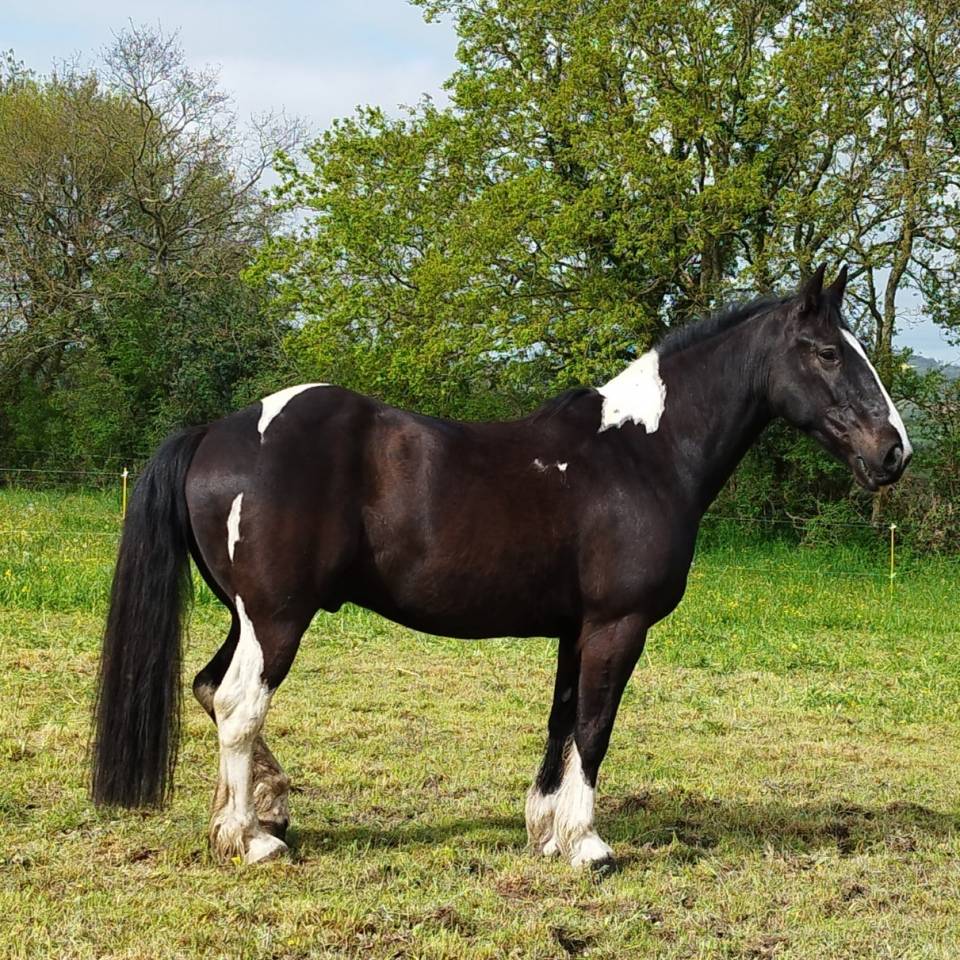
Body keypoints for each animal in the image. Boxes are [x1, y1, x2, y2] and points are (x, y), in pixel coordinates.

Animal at [91, 265, 911, 871]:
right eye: (829, 353)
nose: (894, 451)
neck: (642, 453)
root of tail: (215, 431)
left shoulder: (577, 630)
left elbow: (562, 721)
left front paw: (545, 830)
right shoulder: (618, 626)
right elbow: (595, 727)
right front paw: (587, 846)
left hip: (248, 615)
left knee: (209, 690)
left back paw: (267, 810)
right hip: (277, 618)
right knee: (237, 705)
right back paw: (251, 840)